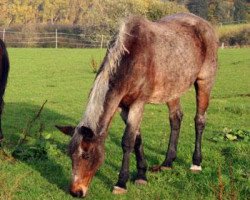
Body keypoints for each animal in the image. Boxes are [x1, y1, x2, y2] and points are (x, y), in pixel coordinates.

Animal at [56, 13, 217, 198]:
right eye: (70, 154)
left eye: (87, 156)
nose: (76, 191)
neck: (131, 59)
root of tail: (204, 24)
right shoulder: (124, 108)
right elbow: (137, 140)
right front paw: (141, 175)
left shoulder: (138, 104)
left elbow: (127, 142)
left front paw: (121, 183)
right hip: (172, 89)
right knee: (176, 119)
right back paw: (168, 162)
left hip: (204, 81)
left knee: (199, 120)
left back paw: (196, 163)